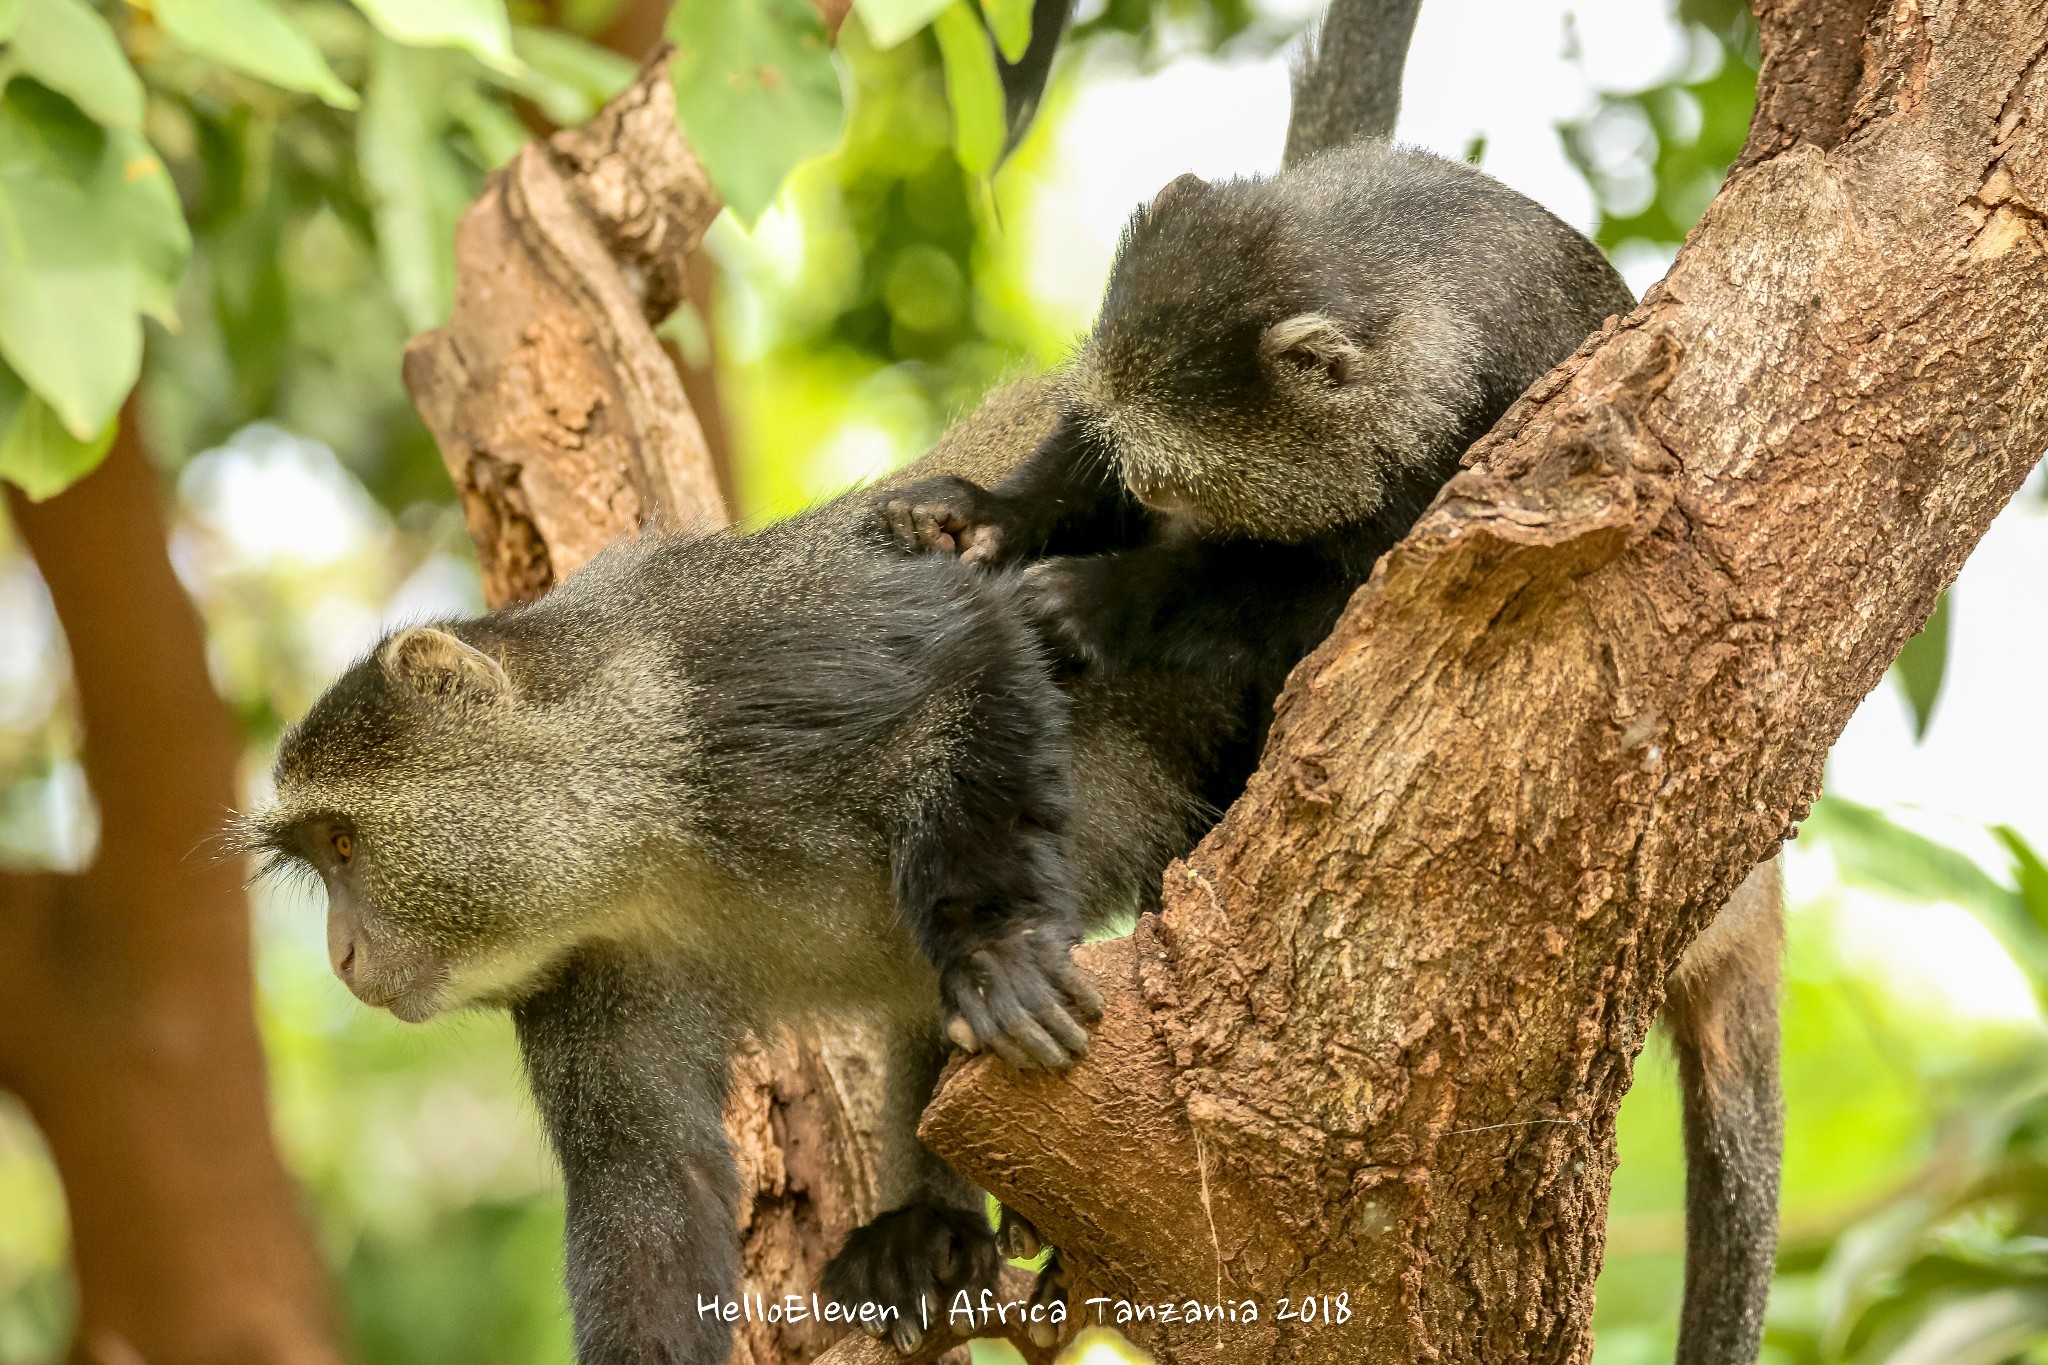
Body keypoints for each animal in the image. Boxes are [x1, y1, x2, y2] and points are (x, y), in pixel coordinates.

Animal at [872, 5, 1785, 1358]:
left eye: (1183, 482)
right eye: (1129, 458)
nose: (1140, 508)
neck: (1376, 269)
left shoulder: (1482, 458)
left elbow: (1335, 609)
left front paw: (1095, 603)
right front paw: (984, 520)